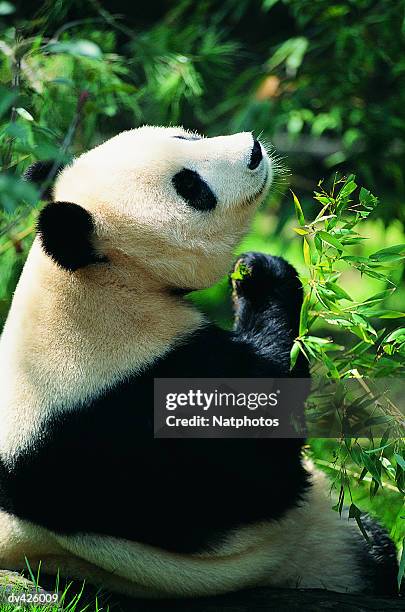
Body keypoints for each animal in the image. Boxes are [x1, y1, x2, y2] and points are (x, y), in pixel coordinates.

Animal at [0, 126, 398, 600]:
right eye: (191, 188)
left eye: (183, 135)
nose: (253, 150)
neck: (91, 282)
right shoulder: (129, 401)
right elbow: (258, 459)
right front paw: (262, 274)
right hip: (310, 548)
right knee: (370, 548)